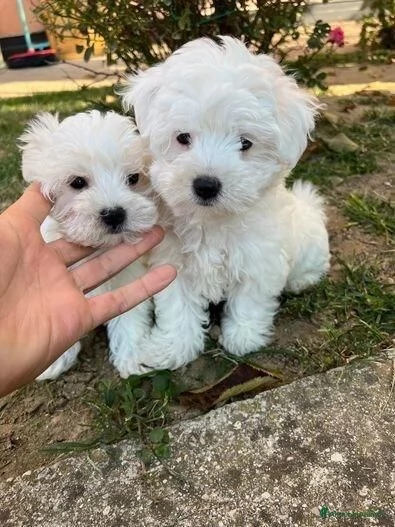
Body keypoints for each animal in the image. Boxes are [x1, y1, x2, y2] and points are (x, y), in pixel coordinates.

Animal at [20, 110, 159, 380]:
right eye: (77, 182)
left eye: (134, 178)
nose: (114, 214)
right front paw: (55, 359)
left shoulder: (129, 277)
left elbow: (131, 316)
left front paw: (133, 355)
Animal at [123, 37, 332, 374]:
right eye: (183, 137)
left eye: (245, 143)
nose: (206, 185)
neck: (212, 221)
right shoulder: (173, 264)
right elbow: (177, 309)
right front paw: (172, 348)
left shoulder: (259, 260)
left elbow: (250, 299)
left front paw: (242, 337)